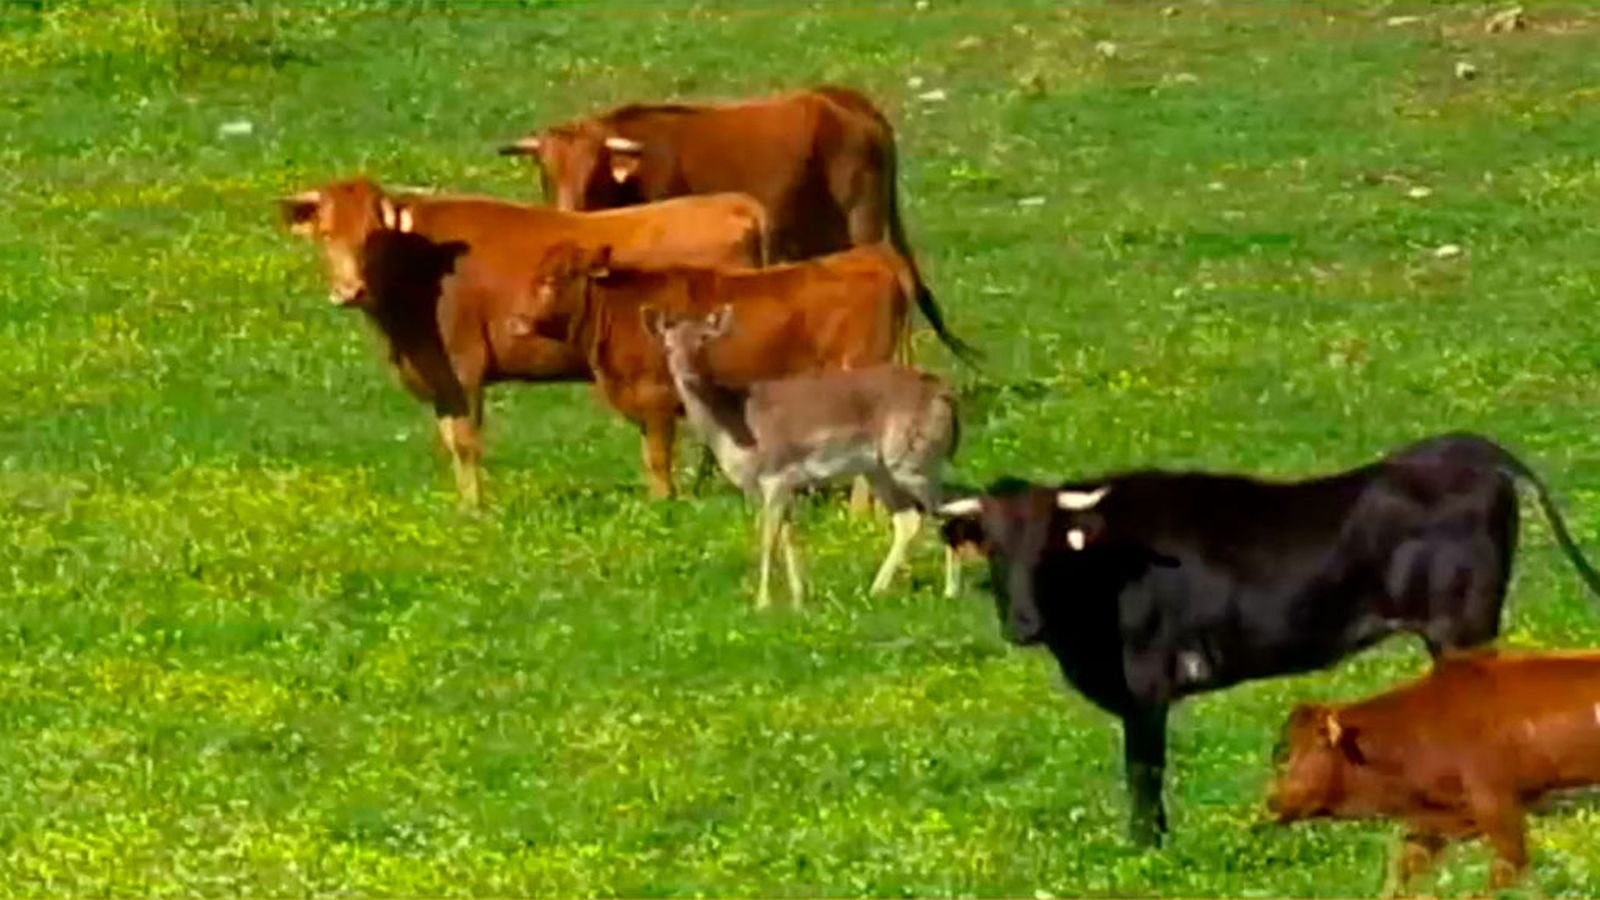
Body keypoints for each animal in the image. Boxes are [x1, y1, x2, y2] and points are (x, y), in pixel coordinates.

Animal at [275, 176, 767, 506]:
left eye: (373, 237)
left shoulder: (462, 370)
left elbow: (465, 442)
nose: (350, 291)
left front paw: (475, 509)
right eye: (326, 234)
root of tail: (736, 204)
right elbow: (450, 440)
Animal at [533, 242, 938, 499]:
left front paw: (664, 501)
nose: (526, 320)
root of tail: (873, 255)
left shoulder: (656, 400)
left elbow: (658, 458)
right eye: (541, 275)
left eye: (559, 277)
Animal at [935, 433, 1600, 847]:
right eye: (993, 547)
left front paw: (1146, 845)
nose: (1023, 624)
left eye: (1049, 547)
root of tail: (1468, 450)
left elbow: (1143, 769)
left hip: (1462, 627)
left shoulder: (1146, 684)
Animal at [1268, 649, 1600, 894]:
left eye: (1288, 757)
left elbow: (1507, 870)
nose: (1271, 802)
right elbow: (1404, 870)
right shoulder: (1437, 819)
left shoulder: (1496, 802)